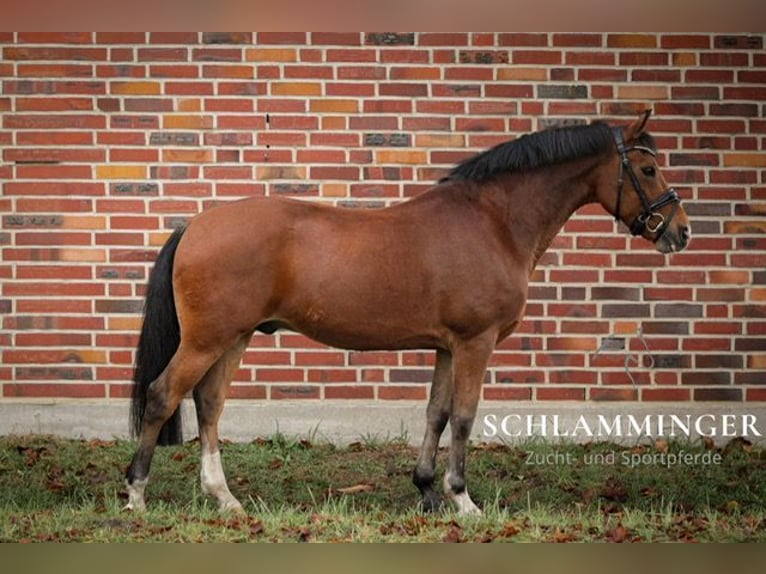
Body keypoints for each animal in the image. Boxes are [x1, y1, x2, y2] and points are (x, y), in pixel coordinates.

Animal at [124, 110, 688, 516]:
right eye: (648, 168)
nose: (680, 231)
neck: (494, 222)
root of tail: (195, 225)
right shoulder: (475, 342)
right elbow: (463, 416)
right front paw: (463, 499)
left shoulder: (447, 346)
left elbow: (436, 413)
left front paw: (427, 491)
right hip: (207, 339)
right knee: (162, 396)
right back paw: (136, 495)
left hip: (234, 337)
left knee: (209, 404)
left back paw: (224, 497)